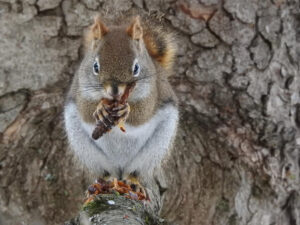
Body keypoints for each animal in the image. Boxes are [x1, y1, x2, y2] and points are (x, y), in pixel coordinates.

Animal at [63, 14, 179, 202]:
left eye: (136, 68)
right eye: (95, 66)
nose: (115, 90)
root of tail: (119, 168)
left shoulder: (153, 92)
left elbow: (143, 113)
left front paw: (127, 110)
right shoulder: (81, 88)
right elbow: (86, 109)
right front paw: (100, 109)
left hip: (154, 150)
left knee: (134, 171)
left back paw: (133, 183)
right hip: (86, 150)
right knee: (105, 172)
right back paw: (103, 183)